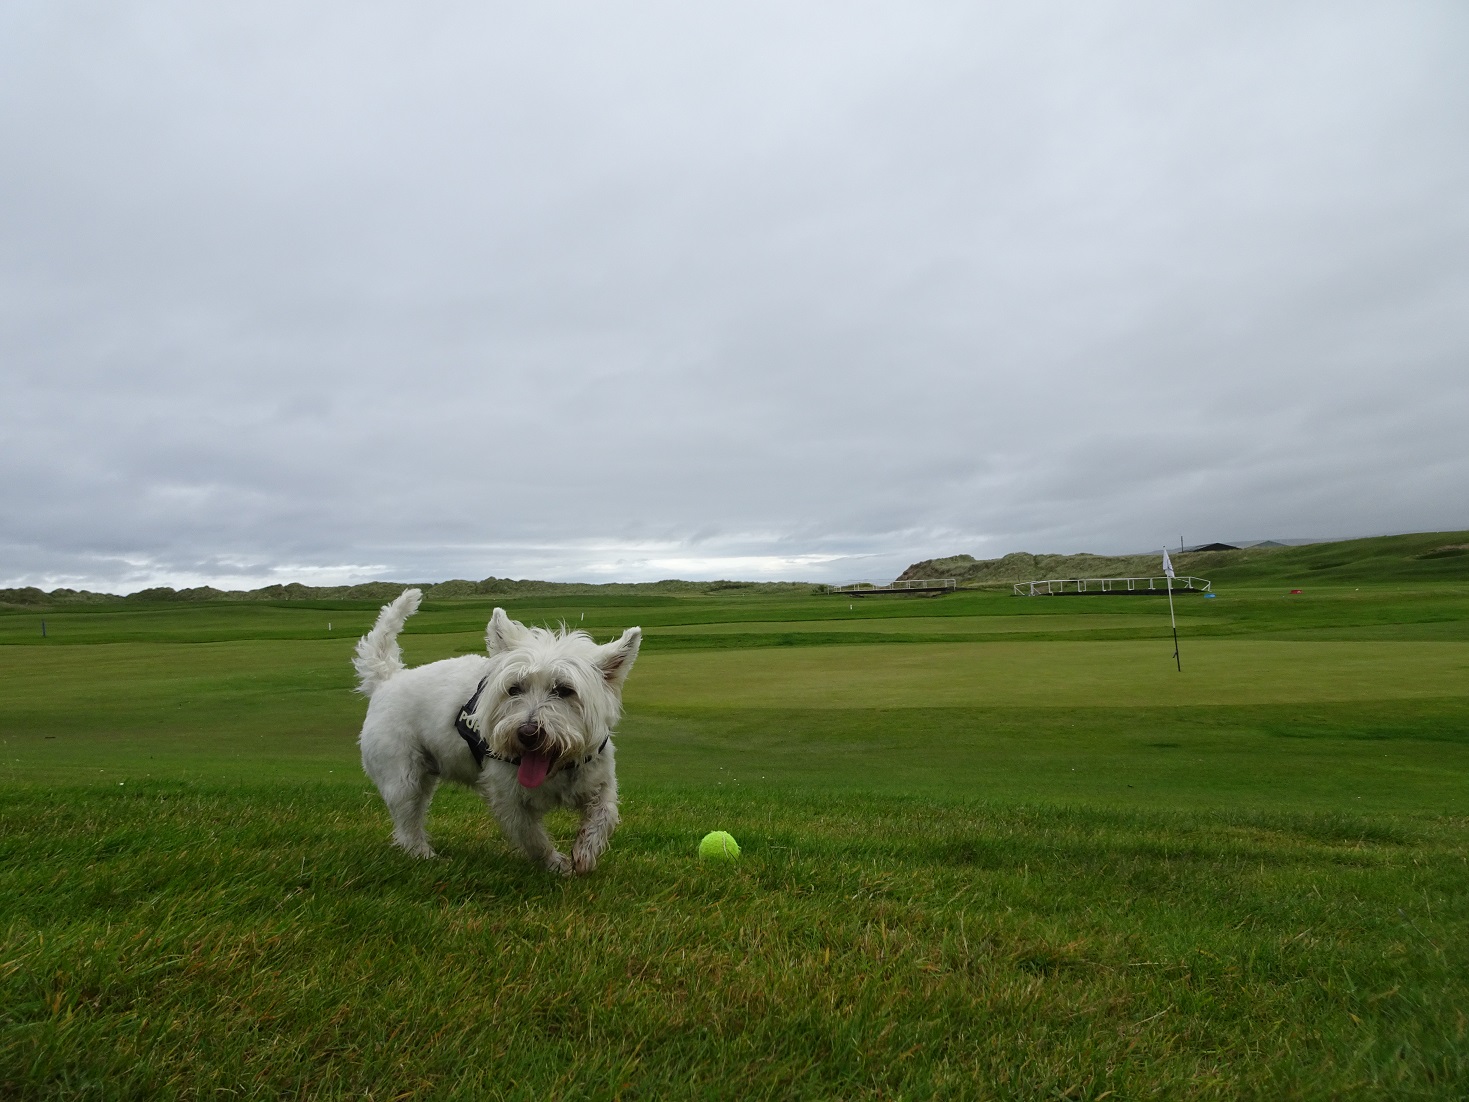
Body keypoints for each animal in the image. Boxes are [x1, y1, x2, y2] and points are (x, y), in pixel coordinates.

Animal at [352, 590, 640, 875]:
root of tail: (387, 680)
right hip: (403, 776)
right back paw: (424, 855)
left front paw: (584, 854)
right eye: (514, 689)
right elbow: (532, 836)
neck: (557, 765)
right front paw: (555, 863)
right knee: (407, 820)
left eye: (565, 690)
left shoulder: (599, 780)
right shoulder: (507, 797)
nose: (527, 733)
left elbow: (604, 814)